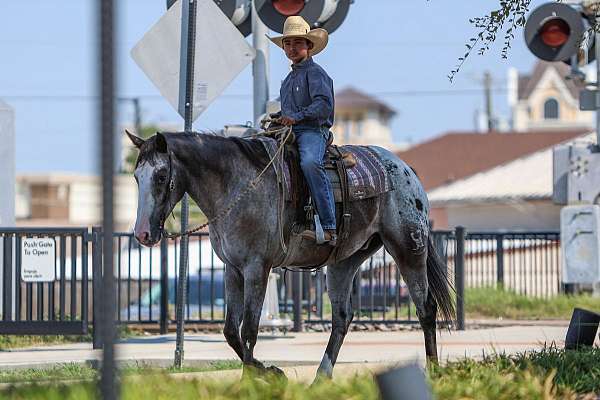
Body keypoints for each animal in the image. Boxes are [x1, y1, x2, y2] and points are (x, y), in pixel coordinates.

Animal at [127, 130, 454, 380]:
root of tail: (406, 170)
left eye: (161, 175)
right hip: (344, 261)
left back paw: (435, 372)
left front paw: (254, 379)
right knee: (342, 317)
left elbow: (249, 329)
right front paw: (271, 371)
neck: (236, 184)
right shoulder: (233, 269)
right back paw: (321, 378)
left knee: (426, 308)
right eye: (136, 177)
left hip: (408, 248)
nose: (142, 234)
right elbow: (231, 331)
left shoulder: (256, 268)